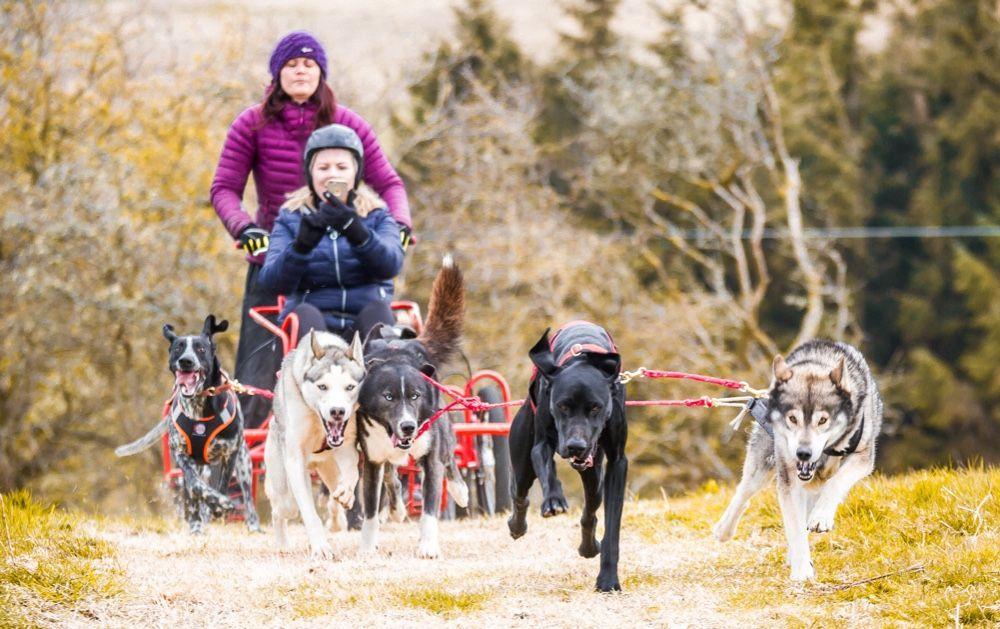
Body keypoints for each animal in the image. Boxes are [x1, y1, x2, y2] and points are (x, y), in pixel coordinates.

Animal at [115, 315, 260, 534]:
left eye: (201, 349)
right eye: (178, 348)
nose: (186, 361)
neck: (200, 408)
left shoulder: (230, 454)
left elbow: (222, 486)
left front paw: (219, 506)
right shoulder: (181, 454)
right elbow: (194, 487)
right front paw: (201, 516)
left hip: (244, 462)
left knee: (247, 495)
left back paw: (252, 524)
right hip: (201, 465)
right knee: (194, 488)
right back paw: (198, 521)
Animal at [264, 330, 366, 558]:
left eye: (349, 387)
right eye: (322, 386)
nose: (337, 411)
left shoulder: (346, 445)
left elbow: (352, 470)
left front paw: (346, 492)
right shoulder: (294, 460)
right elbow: (309, 512)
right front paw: (320, 547)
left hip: (329, 467)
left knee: (334, 491)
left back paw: (338, 514)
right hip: (283, 484)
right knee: (281, 509)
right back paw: (282, 543)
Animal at [356, 255, 469, 559]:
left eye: (416, 396)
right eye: (388, 397)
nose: (408, 426)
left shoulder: (431, 459)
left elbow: (429, 510)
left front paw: (428, 547)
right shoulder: (371, 460)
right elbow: (370, 510)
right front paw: (367, 547)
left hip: (443, 432)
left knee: (450, 459)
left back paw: (460, 490)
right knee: (391, 478)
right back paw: (394, 509)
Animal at [507, 321, 628, 592]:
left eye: (596, 407)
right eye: (562, 406)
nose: (575, 446)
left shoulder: (617, 462)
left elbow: (612, 527)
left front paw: (608, 579)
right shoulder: (540, 443)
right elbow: (547, 467)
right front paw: (553, 500)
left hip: (594, 475)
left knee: (591, 509)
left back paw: (589, 547)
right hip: (522, 460)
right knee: (519, 492)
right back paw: (517, 525)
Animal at [713, 339, 883, 581]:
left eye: (823, 420)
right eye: (792, 418)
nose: (803, 453)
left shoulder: (862, 458)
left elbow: (835, 484)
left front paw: (821, 517)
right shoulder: (789, 480)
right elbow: (794, 526)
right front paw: (802, 569)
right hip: (762, 467)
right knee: (744, 494)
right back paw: (724, 530)